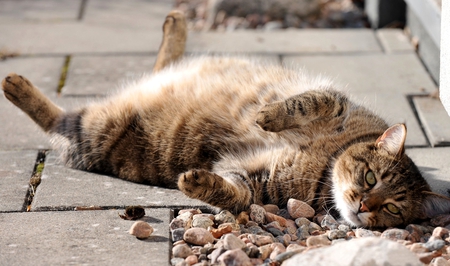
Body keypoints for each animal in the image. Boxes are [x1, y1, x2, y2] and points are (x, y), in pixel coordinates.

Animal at [2, 9, 450, 228]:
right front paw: (267, 115)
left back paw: (15, 86)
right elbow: (307, 103)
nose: (363, 206)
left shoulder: (255, 178)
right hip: (100, 126)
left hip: (95, 131)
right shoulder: (338, 104)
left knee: (59, 121)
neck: (324, 165)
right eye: (370, 178)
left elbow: (235, 195)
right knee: (157, 66)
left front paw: (197, 182)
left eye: (392, 209)